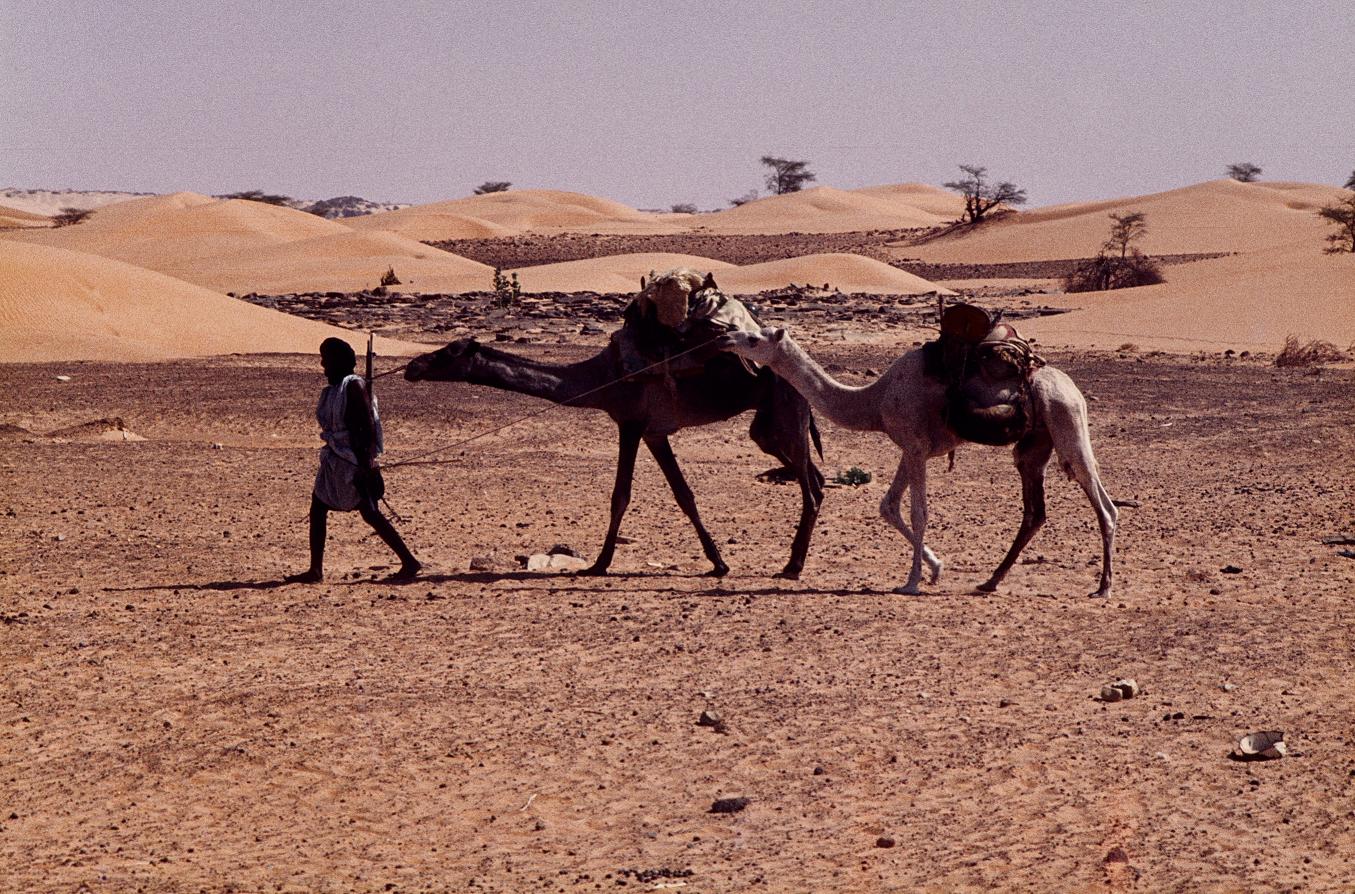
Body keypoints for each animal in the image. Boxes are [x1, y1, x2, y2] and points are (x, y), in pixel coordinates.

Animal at [401, 335, 823, 579]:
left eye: (449, 352)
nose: (412, 366)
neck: (601, 378)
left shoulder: (631, 423)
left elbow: (620, 495)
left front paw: (599, 563)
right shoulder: (653, 432)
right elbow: (683, 495)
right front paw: (718, 562)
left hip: (789, 407)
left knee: (812, 487)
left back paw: (793, 566)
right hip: (767, 425)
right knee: (809, 475)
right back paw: (793, 560)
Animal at [715, 325, 1116, 596]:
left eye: (754, 339)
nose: (725, 338)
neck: (873, 401)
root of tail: (1070, 386)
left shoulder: (917, 445)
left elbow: (918, 511)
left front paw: (911, 582)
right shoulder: (910, 447)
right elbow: (888, 505)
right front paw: (935, 569)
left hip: (1066, 420)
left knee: (1103, 502)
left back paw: (1103, 587)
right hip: (1034, 444)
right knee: (1035, 512)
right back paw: (990, 581)